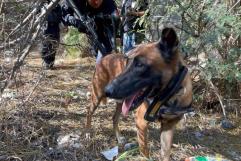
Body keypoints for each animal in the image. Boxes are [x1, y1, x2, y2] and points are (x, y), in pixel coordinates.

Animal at [86, 27, 192, 160]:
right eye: (127, 63)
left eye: (140, 65)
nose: (108, 90)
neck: (168, 96)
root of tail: (105, 56)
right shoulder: (141, 123)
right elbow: (145, 152)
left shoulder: (168, 127)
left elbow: (165, 154)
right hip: (97, 96)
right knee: (89, 112)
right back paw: (88, 133)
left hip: (120, 102)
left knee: (114, 118)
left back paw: (119, 138)